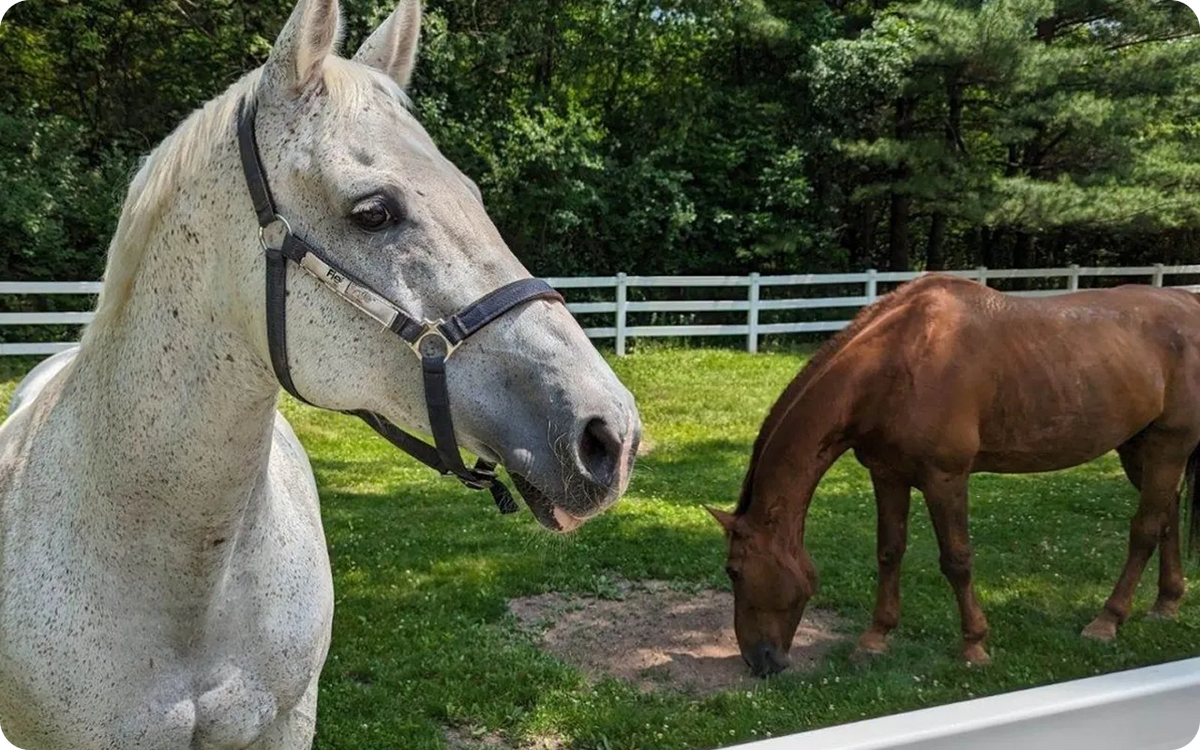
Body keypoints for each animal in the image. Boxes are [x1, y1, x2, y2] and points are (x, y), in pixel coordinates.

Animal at [708, 274, 1200, 677]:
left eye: (734, 570)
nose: (758, 660)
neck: (898, 360)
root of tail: (1188, 304)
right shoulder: (888, 475)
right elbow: (889, 552)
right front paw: (875, 639)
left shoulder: (946, 478)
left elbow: (957, 560)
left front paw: (974, 646)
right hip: (1140, 448)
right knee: (1167, 515)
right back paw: (1166, 603)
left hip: (1168, 445)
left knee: (1144, 530)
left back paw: (1107, 621)